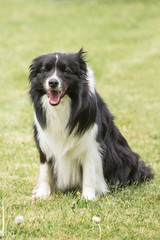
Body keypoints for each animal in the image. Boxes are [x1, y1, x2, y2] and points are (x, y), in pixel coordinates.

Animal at [29, 49, 154, 201]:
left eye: (66, 70)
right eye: (45, 70)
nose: (53, 82)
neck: (64, 106)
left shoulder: (91, 145)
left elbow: (89, 173)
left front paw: (88, 197)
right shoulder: (44, 141)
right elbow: (45, 170)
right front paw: (42, 194)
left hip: (125, 155)